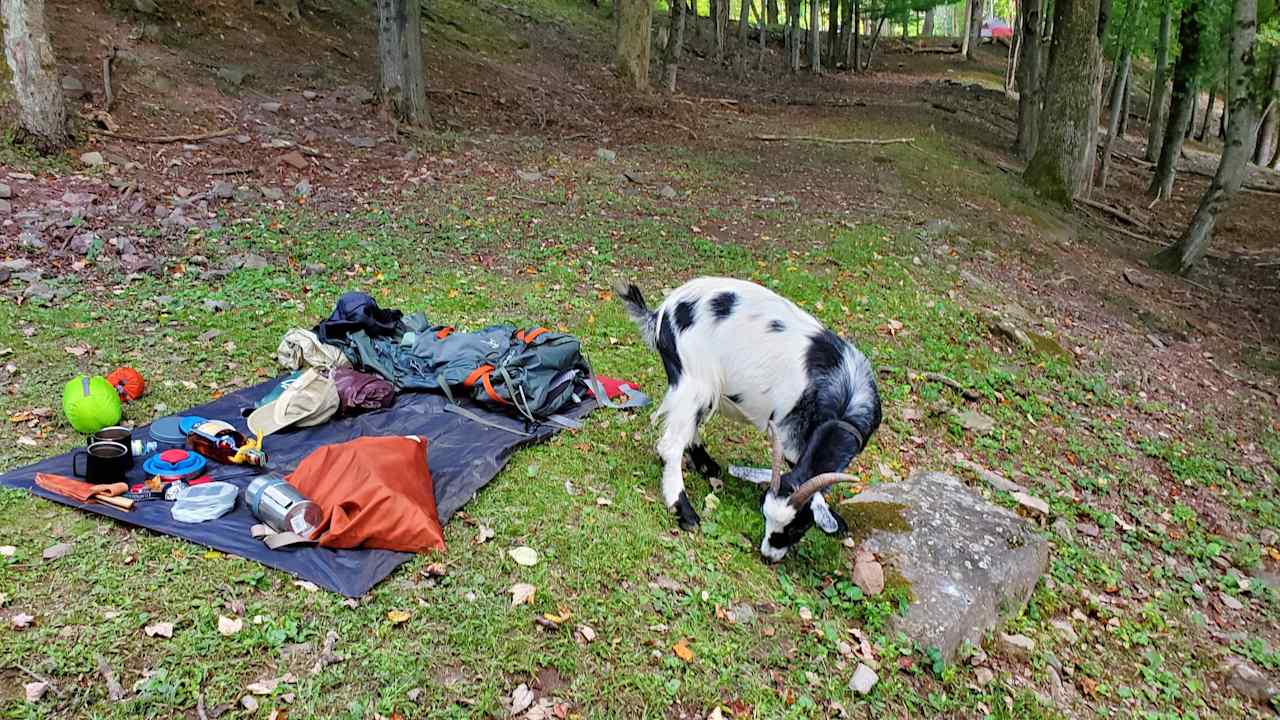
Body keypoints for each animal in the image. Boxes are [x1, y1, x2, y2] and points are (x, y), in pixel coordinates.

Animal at [616, 275, 880, 561]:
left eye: (797, 527)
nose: (767, 556)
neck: (844, 394)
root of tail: (662, 313)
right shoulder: (788, 434)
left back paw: (706, 465)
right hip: (695, 378)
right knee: (670, 444)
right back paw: (685, 511)